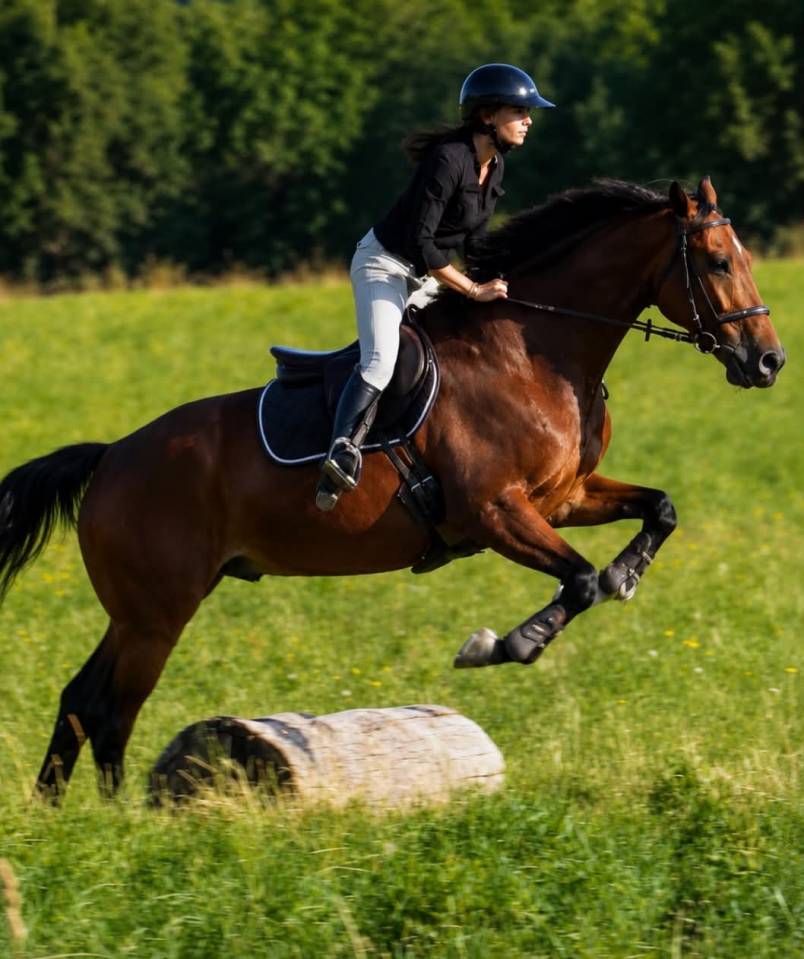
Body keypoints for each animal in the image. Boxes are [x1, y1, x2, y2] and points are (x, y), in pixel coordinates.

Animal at [0, 176, 784, 801]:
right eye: (717, 261)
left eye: (745, 258)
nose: (768, 361)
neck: (533, 352)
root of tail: (111, 458)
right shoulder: (496, 511)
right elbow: (579, 581)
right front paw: (503, 643)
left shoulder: (563, 497)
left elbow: (660, 510)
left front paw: (628, 573)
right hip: (157, 613)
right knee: (111, 709)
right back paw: (118, 823)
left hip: (140, 611)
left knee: (83, 699)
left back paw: (61, 814)